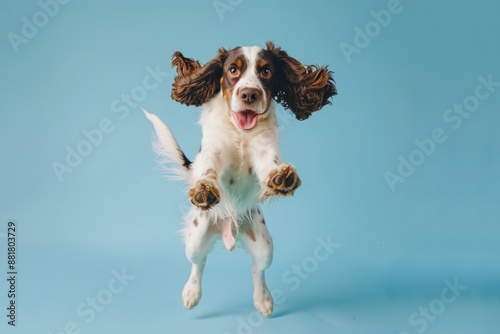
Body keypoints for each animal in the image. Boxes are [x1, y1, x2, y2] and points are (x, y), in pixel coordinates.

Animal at [144, 41, 336, 316]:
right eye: (233, 70)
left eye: (266, 71)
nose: (249, 95)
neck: (241, 133)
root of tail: (229, 229)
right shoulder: (213, 151)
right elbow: (209, 170)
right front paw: (204, 188)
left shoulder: (265, 150)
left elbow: (269, 166)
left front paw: (282, 178)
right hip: (196, 238)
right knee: (199, 261)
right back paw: (192, 293)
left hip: (265, 245)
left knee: (257, 268)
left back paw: (263, 300)